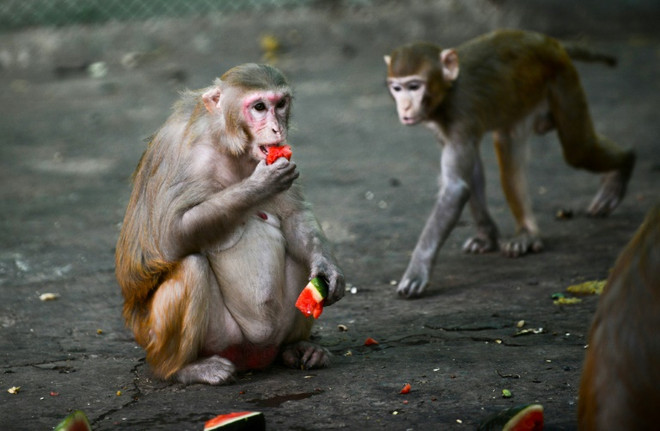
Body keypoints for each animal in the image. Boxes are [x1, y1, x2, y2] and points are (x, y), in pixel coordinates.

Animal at [115, 63, 345, 385]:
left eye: (280, 104)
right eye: (259, 107)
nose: (277, 129)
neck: (227, 144)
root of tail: (255, 357)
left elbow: (295, 216)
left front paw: (329, 269)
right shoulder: (182, 154)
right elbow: (170, 236)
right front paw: (260, 185)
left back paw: (297, 348)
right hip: (203, 338)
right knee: (191, 266)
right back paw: (184, 369)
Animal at [384, 29, 635, 298]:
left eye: (414, 86)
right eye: (397, 88)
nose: (405, 107)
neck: (447, 93)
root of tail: (546, 41)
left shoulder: (460, 117)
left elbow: (455, 188)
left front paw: (417, 270)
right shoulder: (448, 129)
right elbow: (472, 173)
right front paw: (487, 236)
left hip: (562, 79)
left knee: (578, 149)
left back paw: (623, 166)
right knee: (510, 143)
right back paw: (527, 233)